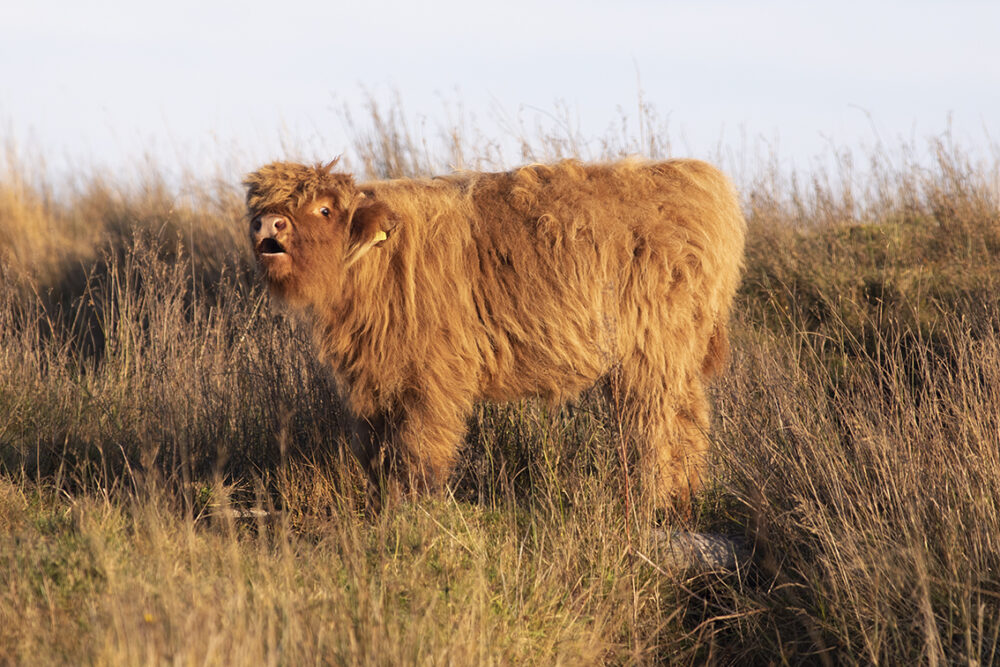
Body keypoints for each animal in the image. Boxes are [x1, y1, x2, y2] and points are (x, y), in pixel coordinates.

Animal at [240, 158, 744, 512]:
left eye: (323, 209)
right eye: (259, 211)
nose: (269, 225)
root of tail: (696, 177)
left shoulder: (432, 376)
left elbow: (419, 449)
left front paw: (414, 509)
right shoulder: (373, 379)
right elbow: (378, 451)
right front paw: (384, 504)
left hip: (653, 353)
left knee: (658, 426)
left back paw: (652, 502)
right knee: (690, 420)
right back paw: (684, 498)